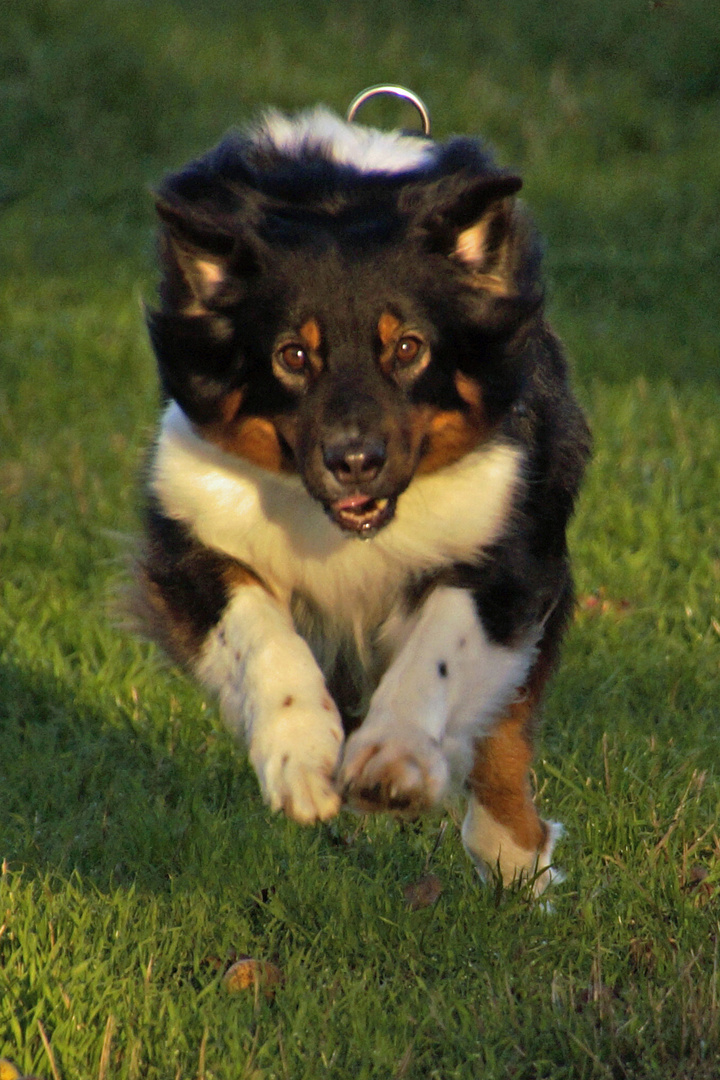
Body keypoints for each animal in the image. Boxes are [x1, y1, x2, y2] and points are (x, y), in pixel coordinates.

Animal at [136, 99, 591, 894]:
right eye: (292, 355)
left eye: (408, 347)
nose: (354, 463)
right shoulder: (190, 524)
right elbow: (259, 632)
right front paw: (301, 757)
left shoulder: (511, 537)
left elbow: (444, 646)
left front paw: (394, 761)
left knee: (503, 731)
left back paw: (514, 857)